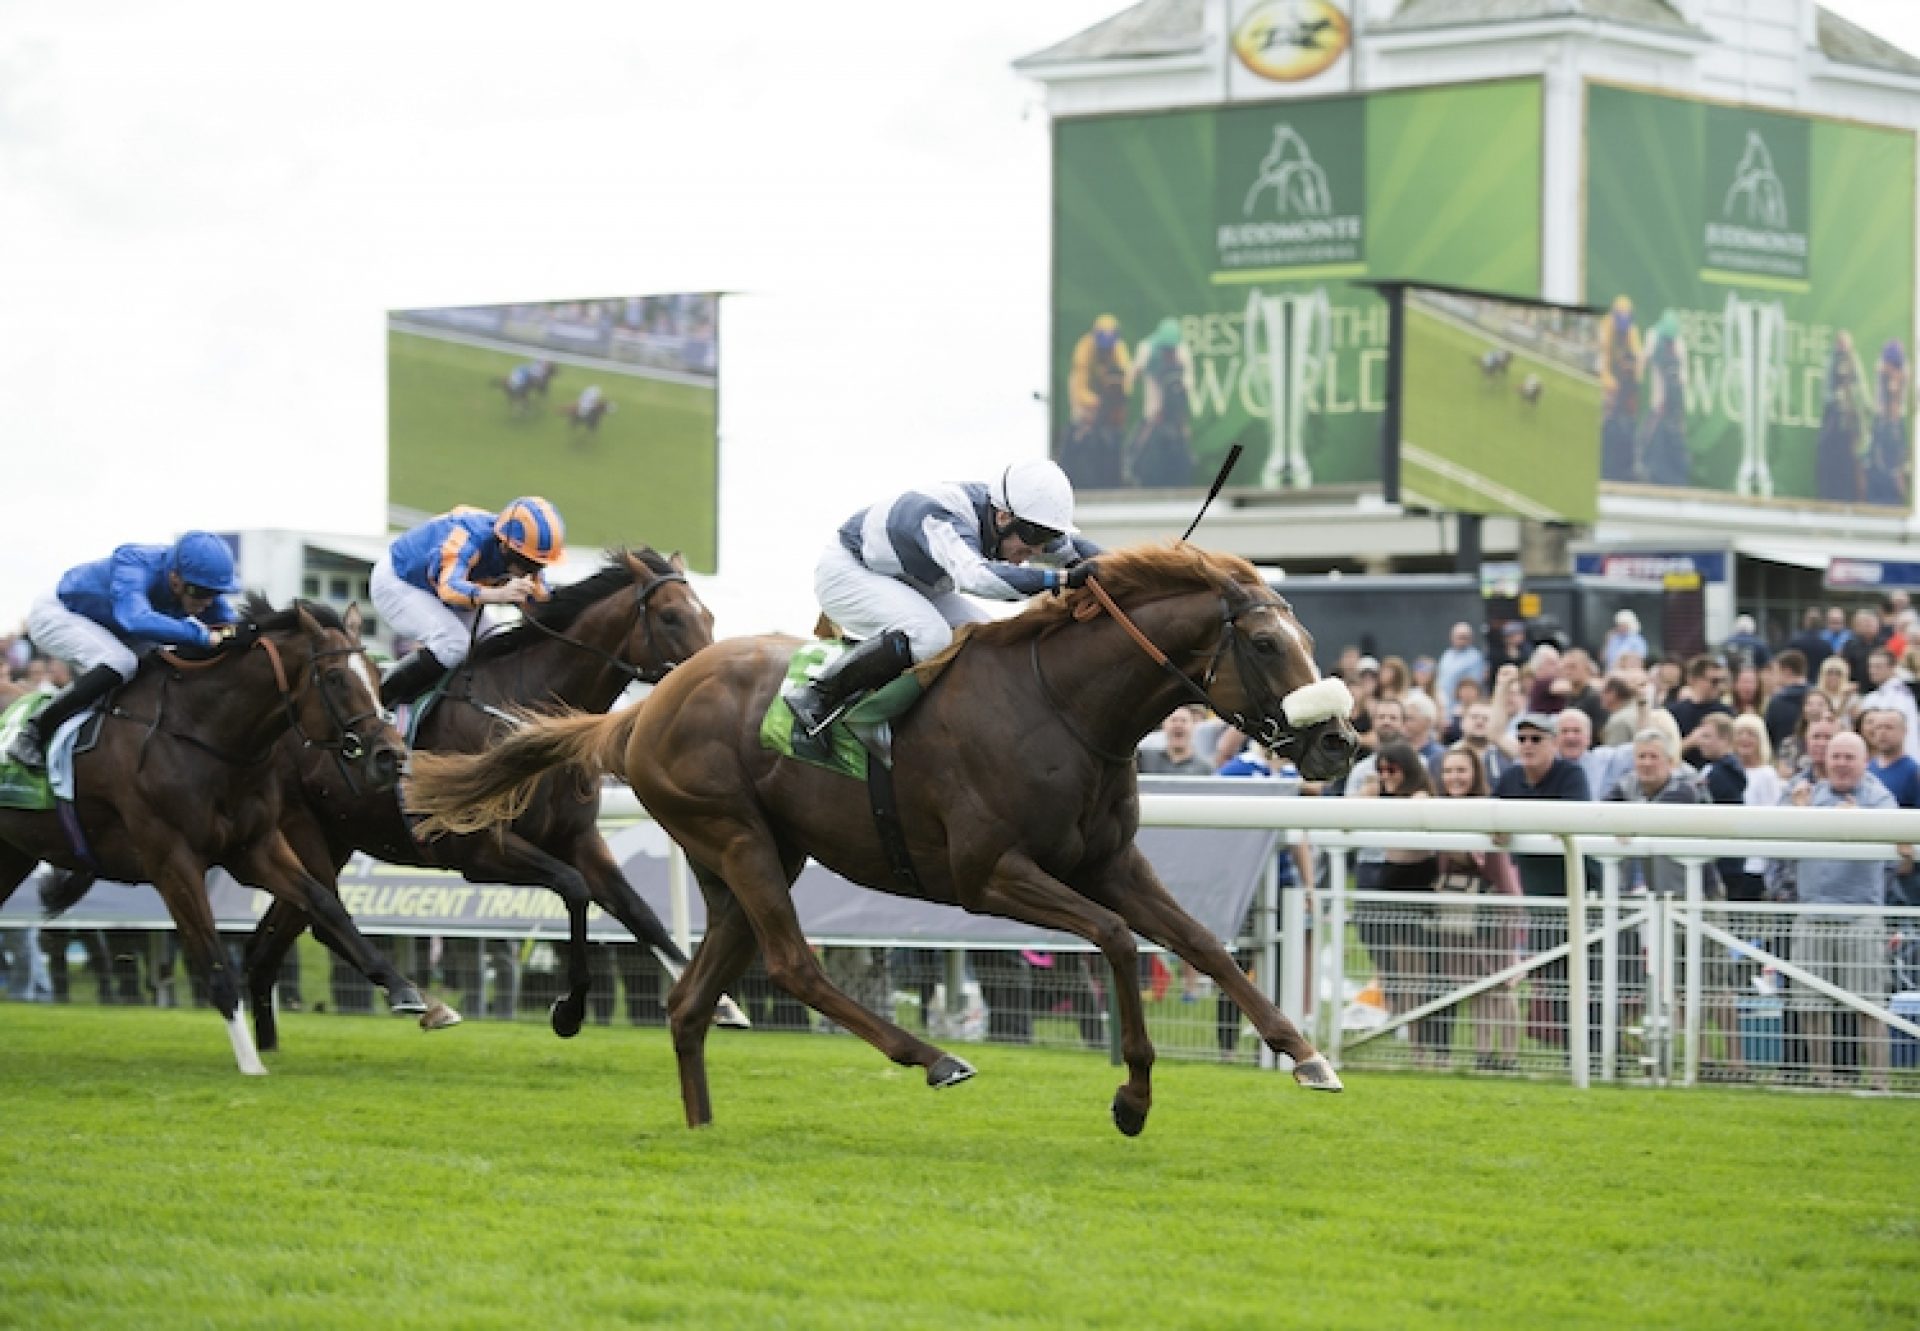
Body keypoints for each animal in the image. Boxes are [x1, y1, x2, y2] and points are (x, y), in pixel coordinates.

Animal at [0, 599, 412, 1067]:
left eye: (377, 676)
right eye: (336, 678)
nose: (391, 756)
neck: (198, 734)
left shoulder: (254, 847)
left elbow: (326, 904)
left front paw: (413, 996)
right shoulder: (172, 860)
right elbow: (214, 959)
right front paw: (251, 1063)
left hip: (13, 853)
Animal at [236, 545, 721, 1052]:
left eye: (707, 614)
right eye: (670, 616)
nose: (710, 676)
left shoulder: (579, 838)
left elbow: (639, 912)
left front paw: (723, 1004)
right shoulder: (478, 848)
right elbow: (574, 888)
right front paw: (569, 1011)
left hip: (334, 839)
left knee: (273, 941)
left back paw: (274, 1044)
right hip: (304, 831)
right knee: (321, 915)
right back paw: (420, 1002)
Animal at [410, 541, 1359, 1129]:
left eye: (1309, 635)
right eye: (1266, 641)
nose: (1340, 742)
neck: (1063, 703)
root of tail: (645, 707)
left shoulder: (1110, 860)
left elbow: (1203, 942)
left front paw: (1306, 1054)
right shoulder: (989, 873)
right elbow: (1121, 940)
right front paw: (1132, 1095)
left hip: (748, 855)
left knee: (689, 1002)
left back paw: (703, 1125)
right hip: (737, 836)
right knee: (793, 963)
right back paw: (932, 1056)